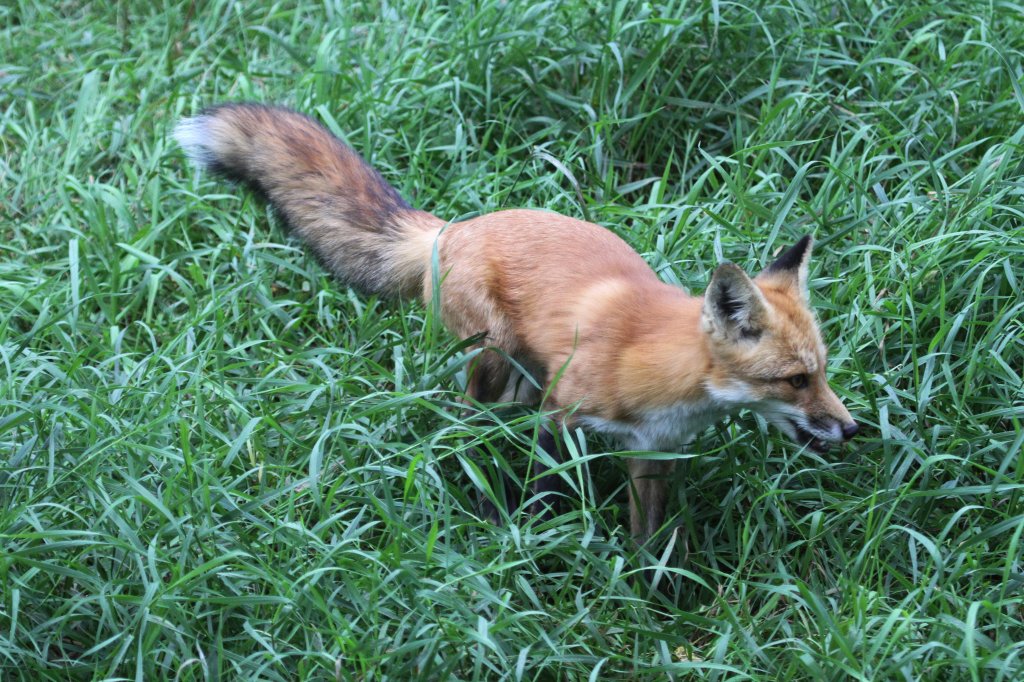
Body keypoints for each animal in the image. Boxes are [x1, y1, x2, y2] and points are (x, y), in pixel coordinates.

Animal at [174, 104, 856, 540]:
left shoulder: (651, 454)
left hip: (520, 377)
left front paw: (647, 605)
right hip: (493, 360)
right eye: (795, 380)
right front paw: (527, 545)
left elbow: (648, 544)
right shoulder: (562, 416)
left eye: (823, 372)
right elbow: (548, 487)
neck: (655, 363)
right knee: (465, 432)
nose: (853, 429)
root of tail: (450, 228)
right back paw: (477, 500)